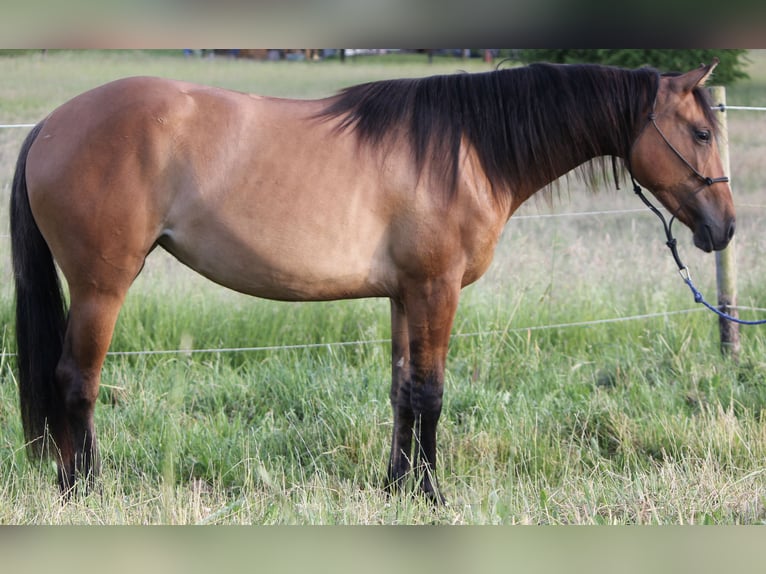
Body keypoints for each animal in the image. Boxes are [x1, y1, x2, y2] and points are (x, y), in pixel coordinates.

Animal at [10, 59, 735, 500]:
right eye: (701, 132)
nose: (724, 228)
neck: (466, 149)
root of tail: (50, 123)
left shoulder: (404, 295)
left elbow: (402, 392)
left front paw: (396, 486)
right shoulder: (437, 290)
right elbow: (433, 393)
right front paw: (433, 492)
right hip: (101, 288)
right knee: (77, 380)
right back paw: (86, 487)